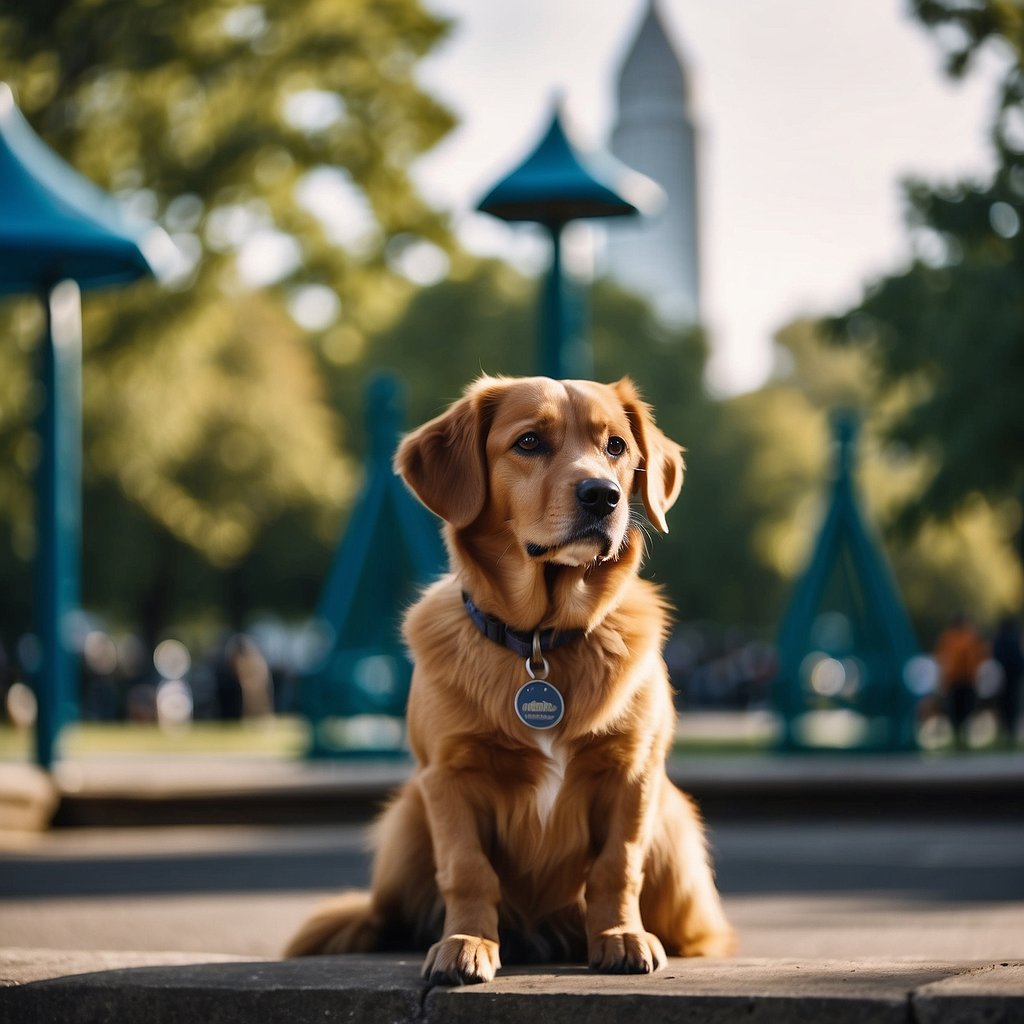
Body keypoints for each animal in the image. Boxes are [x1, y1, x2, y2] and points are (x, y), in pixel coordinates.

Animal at [286, 376, 737, 983]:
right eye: (528, 442)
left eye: (616, 447)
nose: (603, 495)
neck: (541, 641)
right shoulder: (448, 777)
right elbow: (467, 870)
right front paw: (467, 942)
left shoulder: (633, 773)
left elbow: (617, 866)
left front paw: (619, 935)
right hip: (407, 819)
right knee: (382, 913)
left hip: (675, 825)